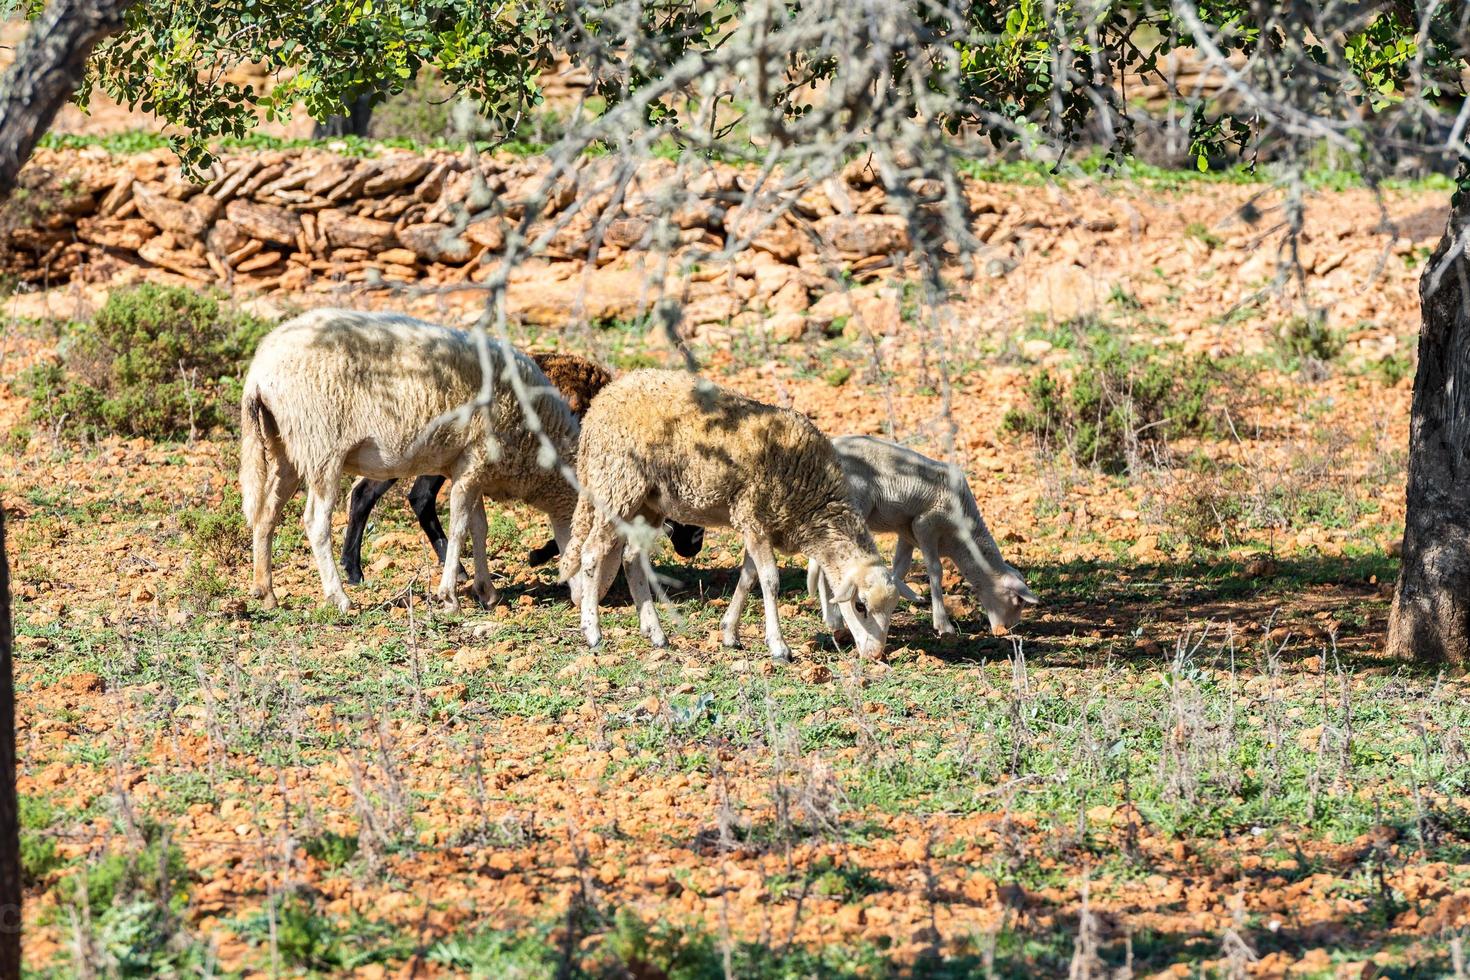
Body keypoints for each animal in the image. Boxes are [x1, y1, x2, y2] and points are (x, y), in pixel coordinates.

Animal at [238, 308, 576, 614]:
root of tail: (259, 373)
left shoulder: (470, 468)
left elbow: (479, 527)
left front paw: (486, 592)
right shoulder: (474, 460)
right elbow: (460, 528)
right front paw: (450, 597)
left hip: (285, 445)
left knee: (266, 514)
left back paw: (266, 593)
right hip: (321, 445)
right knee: (315, 522)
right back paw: (340, 598)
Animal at [558, 371, 893, 664]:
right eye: (860, 606)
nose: (875, 655)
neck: (814, 502)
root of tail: (600, 403)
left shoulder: (758, 525)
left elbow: (748, 578)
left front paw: (730, 633)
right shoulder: (754, 517)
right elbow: (769, 581)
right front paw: (779, 647)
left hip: (647, 503)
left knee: (631, 559)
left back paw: (655, 633)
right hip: (617, 485)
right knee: (591, 553)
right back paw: (593, 632)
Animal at [811, 434, 1040, 637]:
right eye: (1018, 600)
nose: (1008, 629)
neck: (961, 538)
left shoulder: (906, 531)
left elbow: (901, 566)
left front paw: (901, 591)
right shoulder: (925, 524)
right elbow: (936, 570)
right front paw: (943, 624)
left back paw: (833, 619)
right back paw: (833, 618)